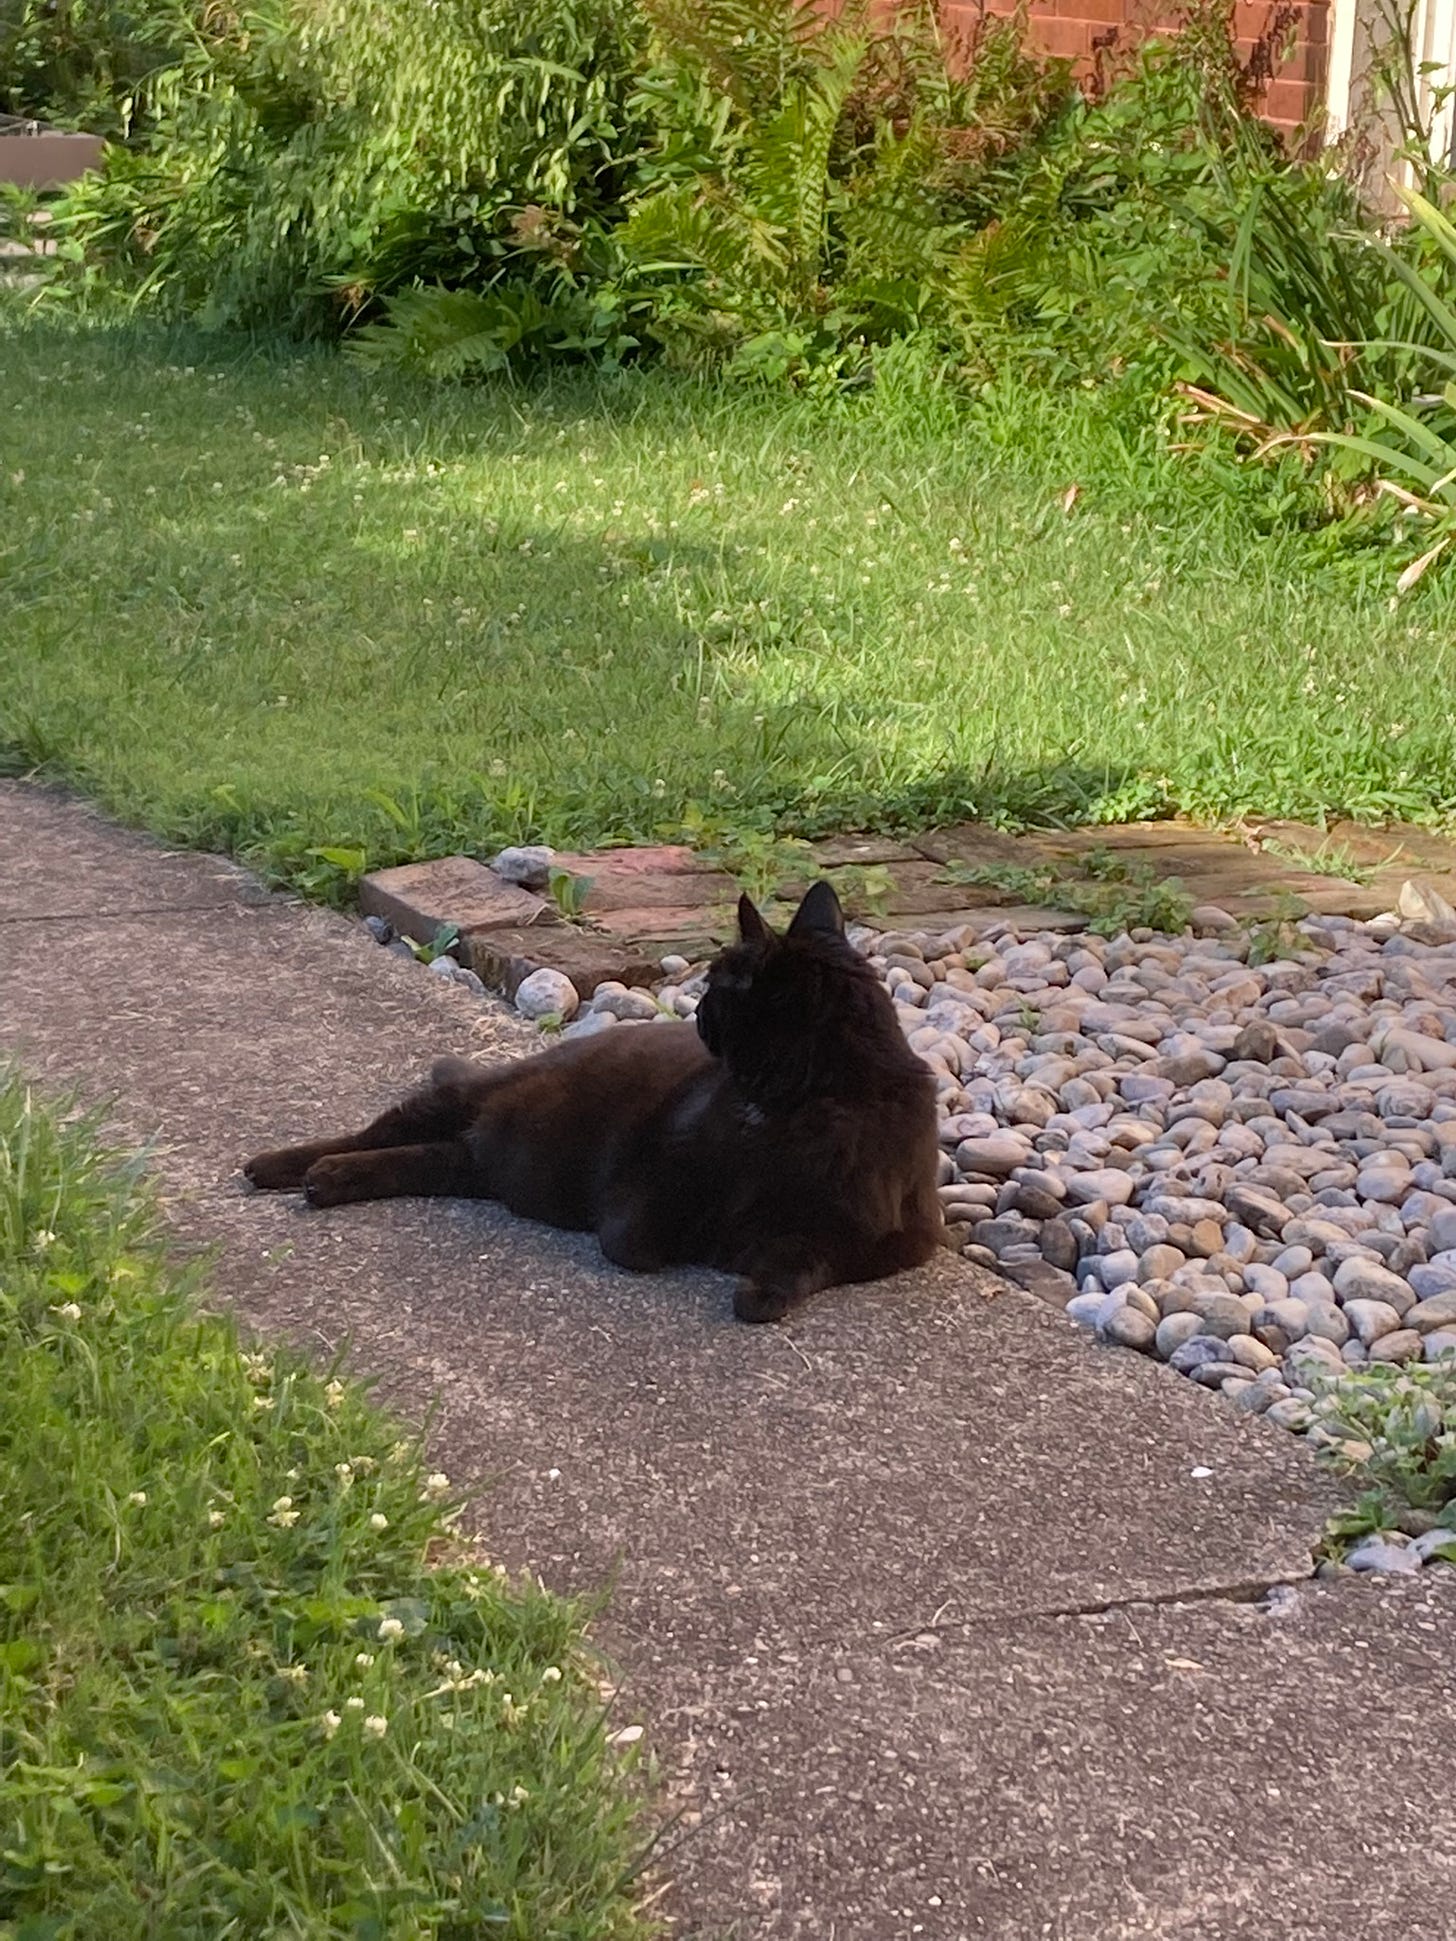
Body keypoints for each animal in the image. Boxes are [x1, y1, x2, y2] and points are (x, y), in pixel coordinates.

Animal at [243, 881, 939, 1319]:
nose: (695, 1014)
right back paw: (279, 1166)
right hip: (466, 1100)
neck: (790, 1109)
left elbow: (804, 1259)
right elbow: (635, 1239)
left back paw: (328, 1180)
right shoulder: (644, 1189)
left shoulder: (889, 1240)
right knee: (375, 1132)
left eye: (717, 992)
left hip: (465, 1161)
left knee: (414, 1160)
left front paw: (758, 1285)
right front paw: (715, 1244)